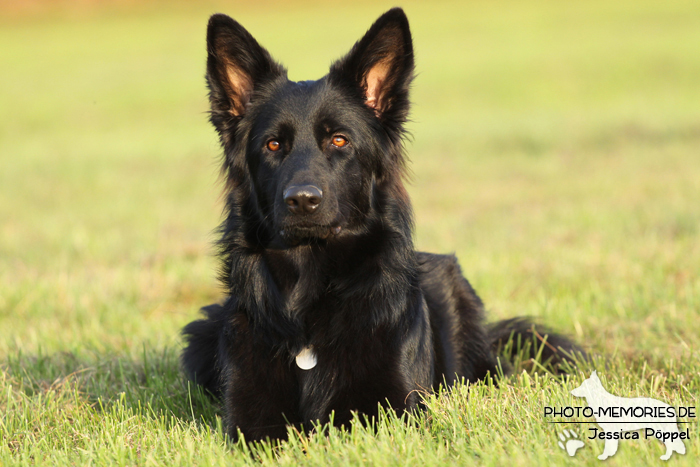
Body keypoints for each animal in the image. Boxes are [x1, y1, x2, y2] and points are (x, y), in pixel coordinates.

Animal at [183, 7, 584, 442]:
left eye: (339, 140)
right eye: (273, 145)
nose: (302, 200)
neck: (309, 289)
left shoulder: (394, 410)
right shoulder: (251, 422)